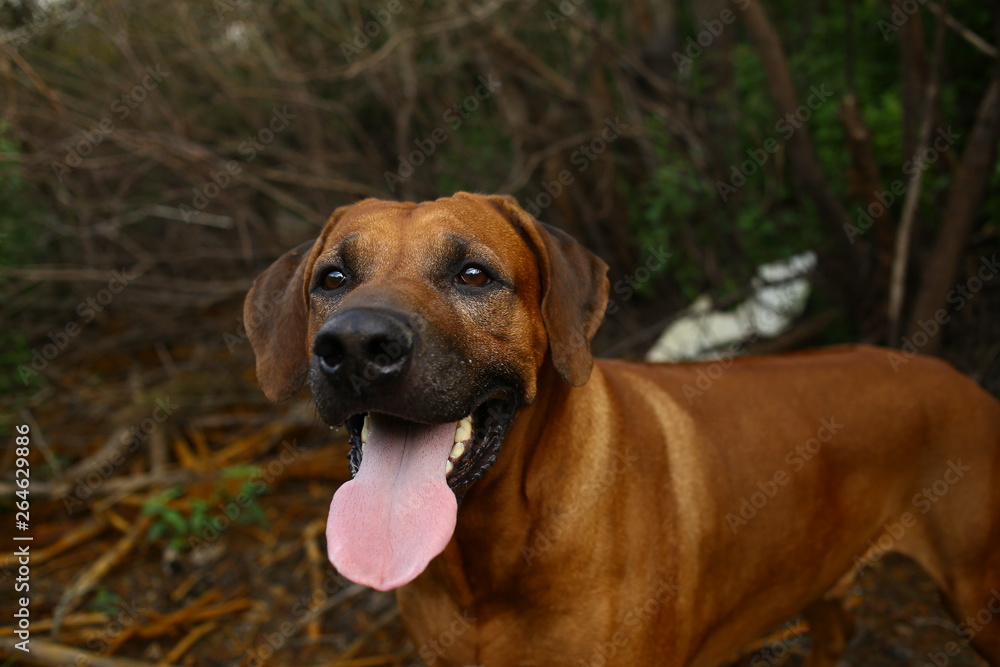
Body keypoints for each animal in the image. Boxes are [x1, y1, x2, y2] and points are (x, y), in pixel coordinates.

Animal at [244, 190, 1000, 664]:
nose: (354, 346)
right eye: (332, 278)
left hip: (978, 592)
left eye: (473, 274)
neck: (491, 551)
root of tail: (964, 382)